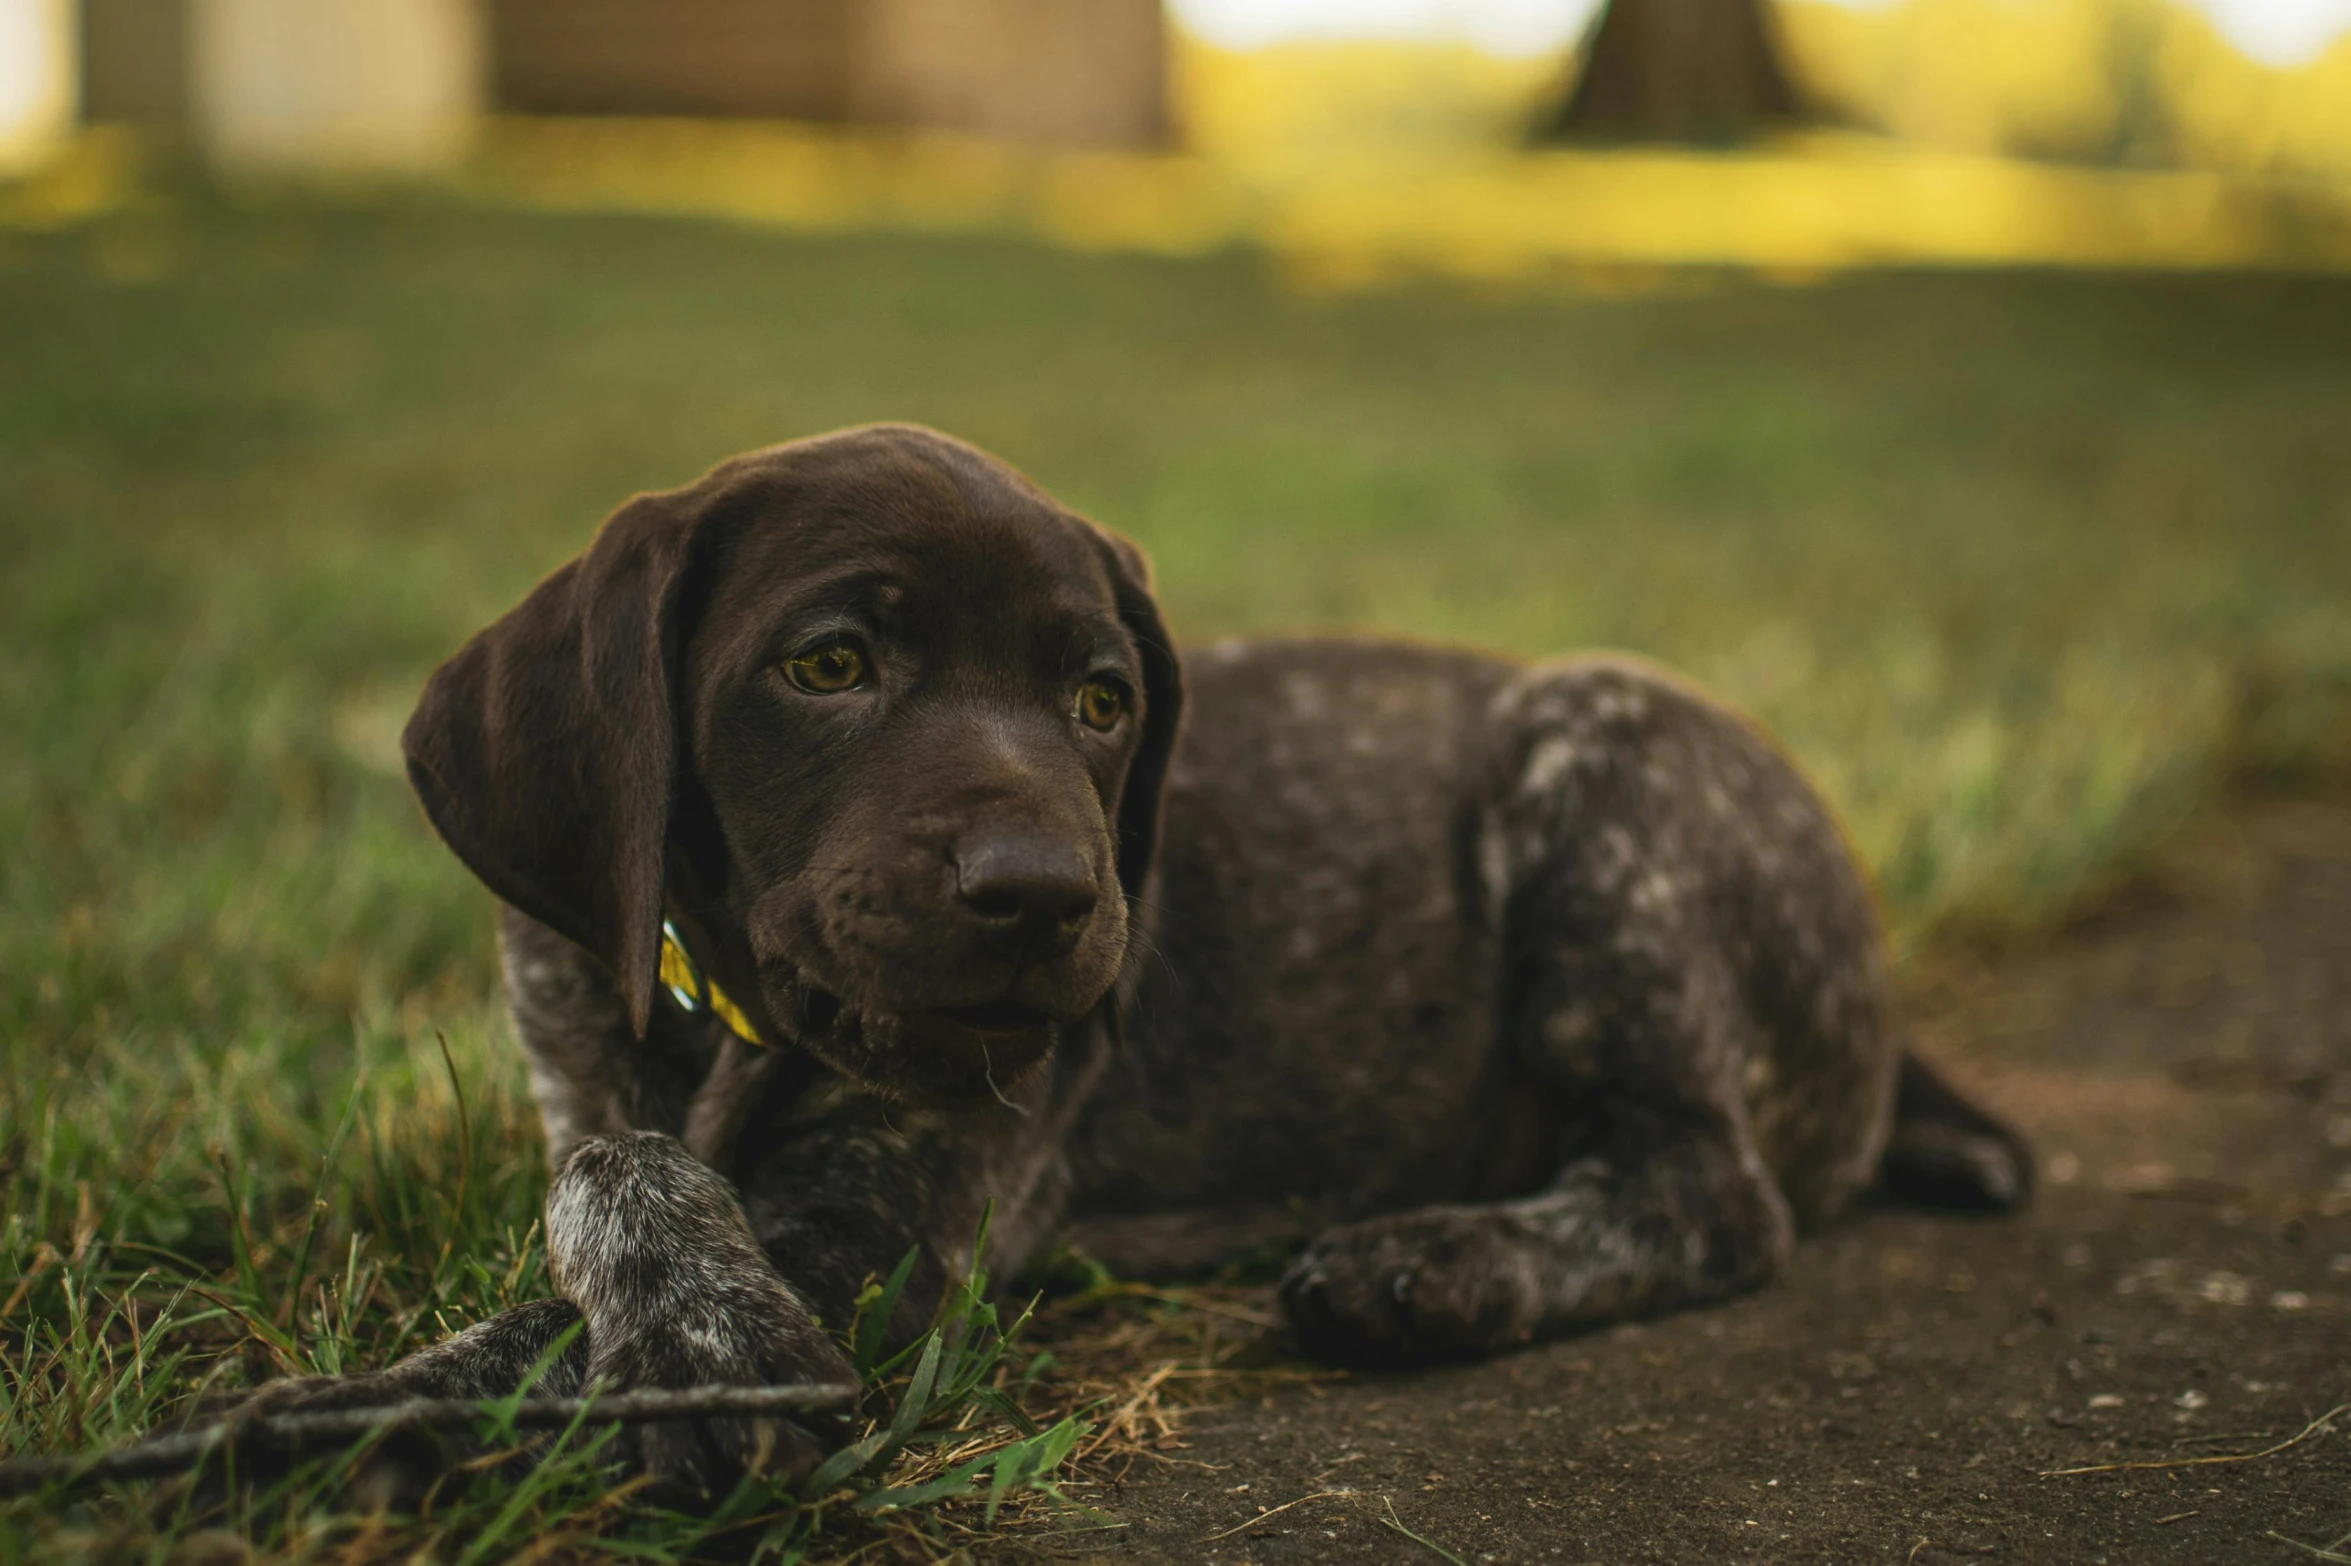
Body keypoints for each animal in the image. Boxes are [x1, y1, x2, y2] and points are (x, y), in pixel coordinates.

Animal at [229, 423, 2021, 1486]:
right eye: (827, 664)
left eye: (1102, 701)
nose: (1042, 896)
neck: (719, 1006)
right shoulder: (586, 1046)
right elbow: (598, 1158)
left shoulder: (881, 1234)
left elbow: (583, 1264)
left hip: (1602, 757)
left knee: (1708, 1193)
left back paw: (1432, 1263)